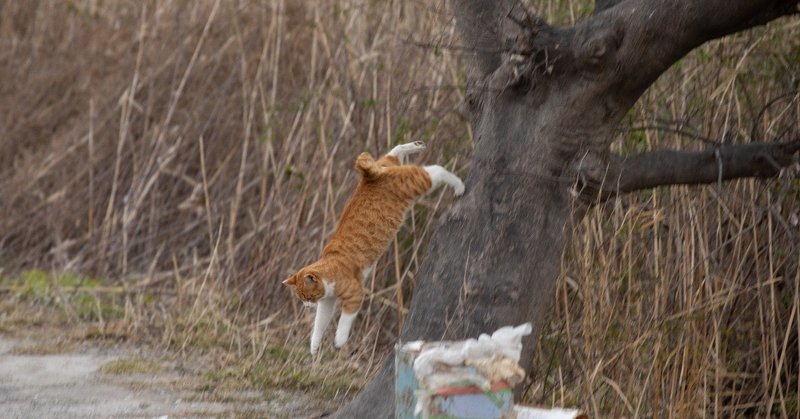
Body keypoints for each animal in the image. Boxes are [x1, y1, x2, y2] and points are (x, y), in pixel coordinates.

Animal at [284, 141, 466, 354]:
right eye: (301, 298)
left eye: (307, 296)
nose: (306, 306)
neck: (330, 264)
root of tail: (370, 176)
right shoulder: (327, 302)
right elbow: (320, 323)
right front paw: (314, 347)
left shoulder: (355, 292)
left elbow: (345, 319)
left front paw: (339, 340)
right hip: (391, 166)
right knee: (394, 153)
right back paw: (414, 146)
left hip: (414, 182)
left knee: (435, 171)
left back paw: (459, 186)